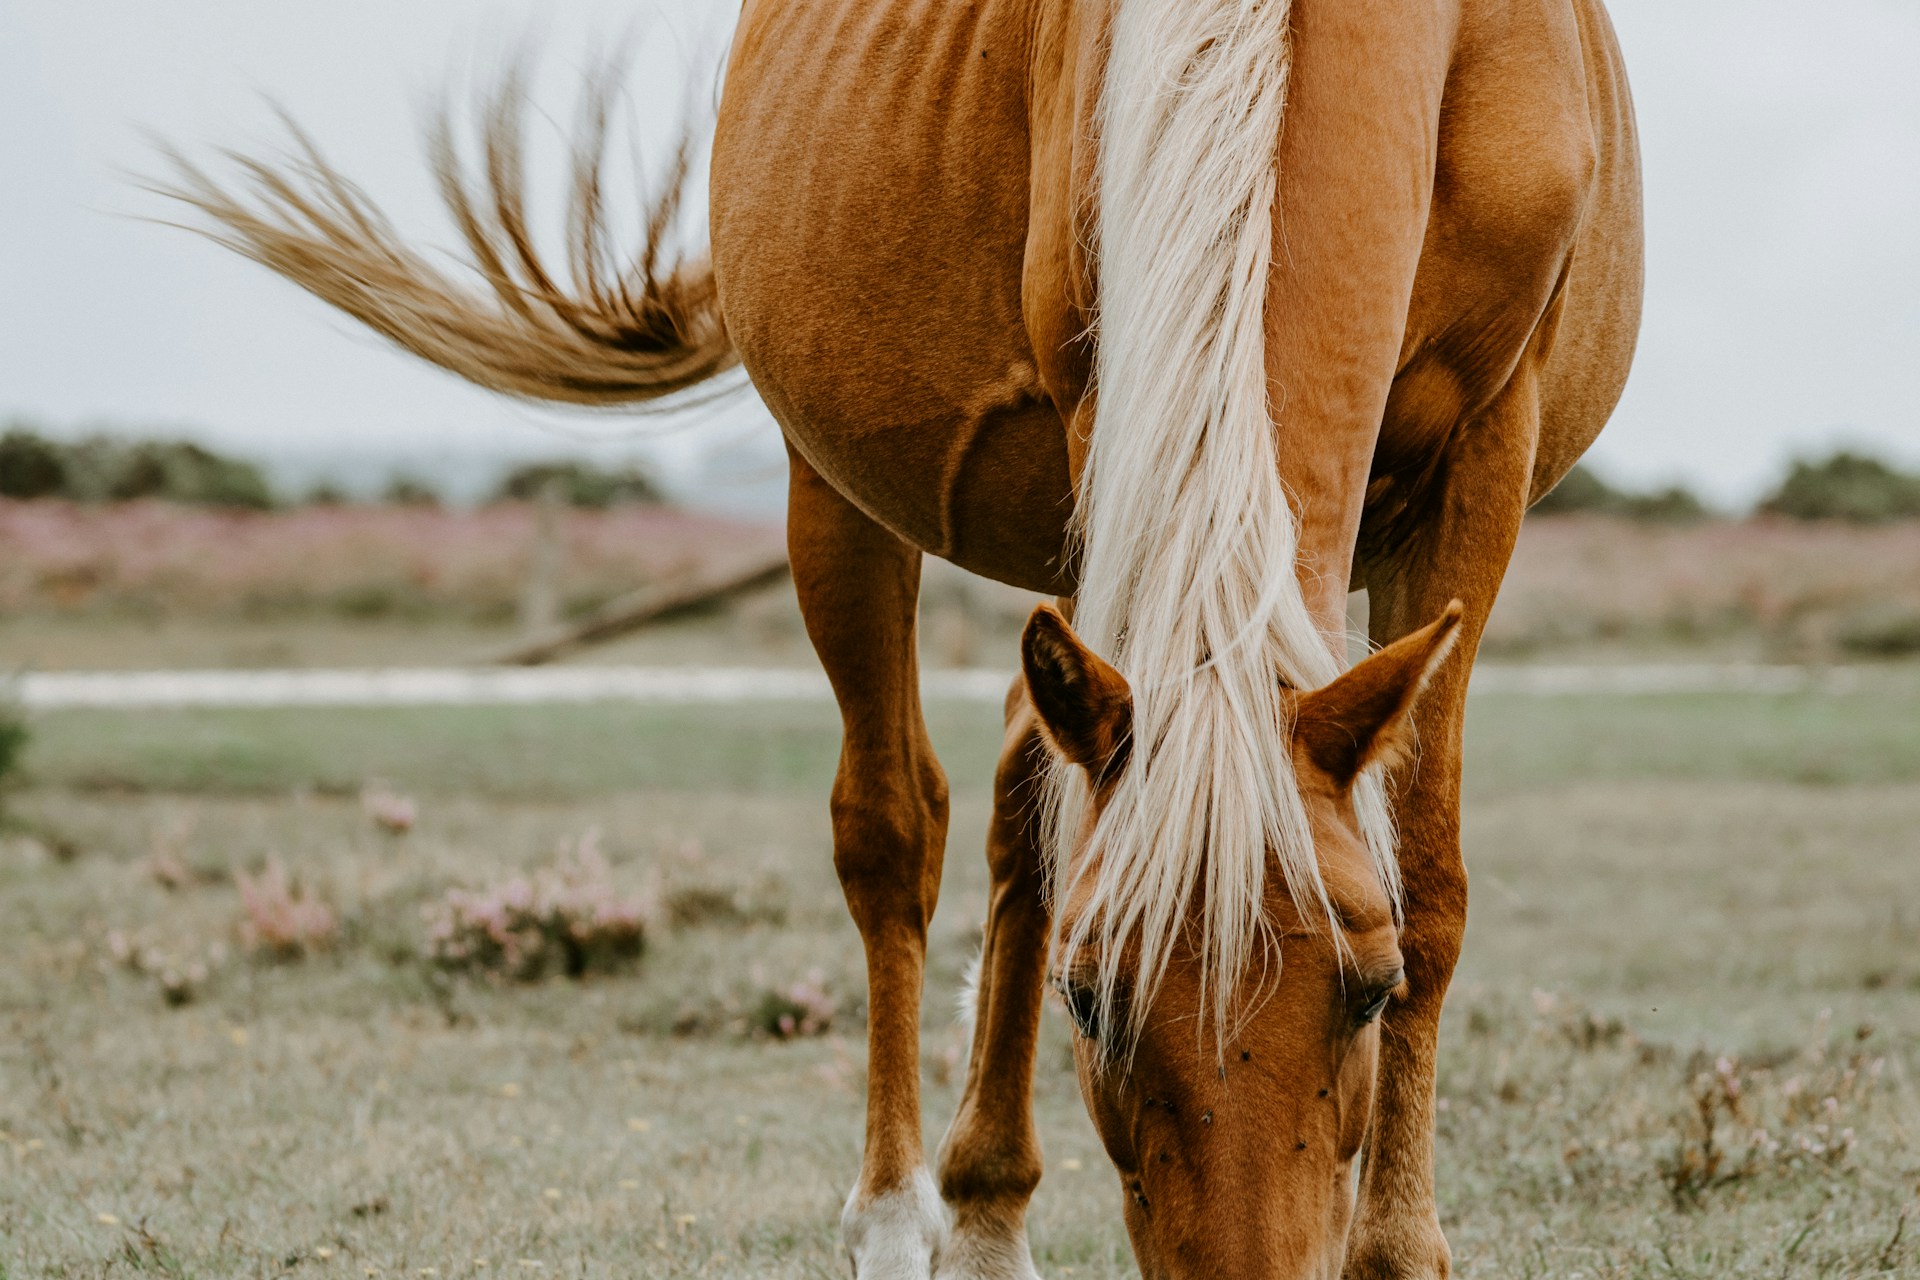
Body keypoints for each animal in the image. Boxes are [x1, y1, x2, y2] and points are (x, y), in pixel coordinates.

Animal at [167, 0, 1642, 1274]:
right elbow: (1008, 851)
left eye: (1371, 989)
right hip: (847, 493)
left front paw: (1398, 1249)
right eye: (1088, 1000)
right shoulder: (1100, 404)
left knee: (1020, 794)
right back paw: (914, 1219)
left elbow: (1430, 874)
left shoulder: (1486, 454)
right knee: (900, 826)